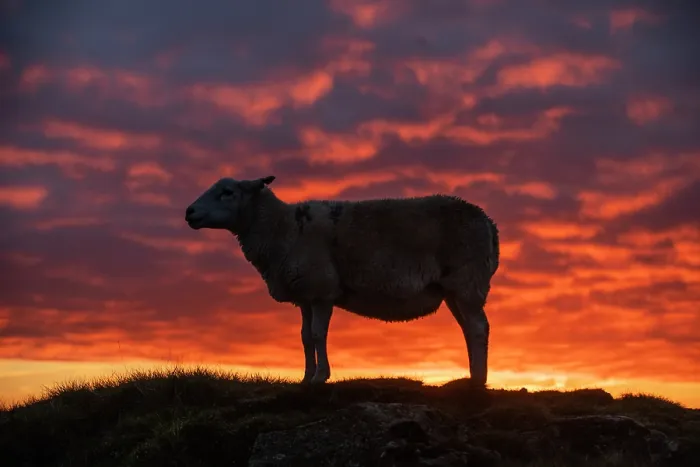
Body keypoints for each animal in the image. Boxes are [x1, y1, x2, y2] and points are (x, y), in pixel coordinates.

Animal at [185, 175, 500, 387]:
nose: (189, 212)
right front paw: (305, 377)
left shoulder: (322, 289)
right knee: (469, 329)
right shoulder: (304, 294)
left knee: (478, 328)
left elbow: (317, 334)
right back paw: (473, 376)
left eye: (227, 192)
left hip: (467, 280)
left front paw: (320, 377)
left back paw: (477, 383)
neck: (283, 227)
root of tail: (488, 223)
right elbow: (304, 337)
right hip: (454, 289)